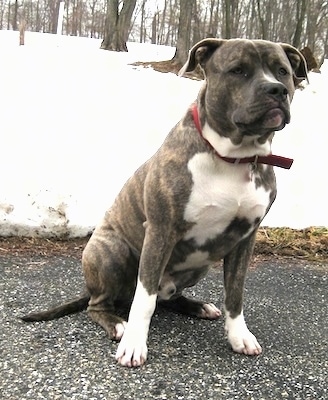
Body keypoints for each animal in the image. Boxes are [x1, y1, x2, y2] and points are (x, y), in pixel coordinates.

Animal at [21, 39, 308, 368]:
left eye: (282, 71)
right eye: (238, 70)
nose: (276, 90)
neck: (232, 157)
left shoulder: (245, 238)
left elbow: (235, 295)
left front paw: (240, 336)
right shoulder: (161, 231)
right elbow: (143, 301)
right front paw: (134, 344)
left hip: (199, 266)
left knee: (167, 298)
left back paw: (197, 306)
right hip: (113, 251)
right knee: (102, 304)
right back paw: (117, 324)